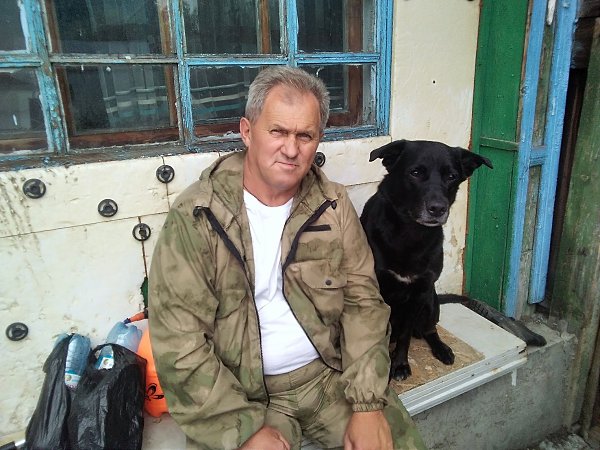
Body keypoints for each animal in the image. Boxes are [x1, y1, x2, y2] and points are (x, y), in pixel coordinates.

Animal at [360, 139, 493, 380]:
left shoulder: (420, 292)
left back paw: (442, 349)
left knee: (429, 330)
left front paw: (399, 365)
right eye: (415, 173)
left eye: (451, 176)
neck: (410, 233)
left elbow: (404, 337)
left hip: (431, 302)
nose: (438, 208)